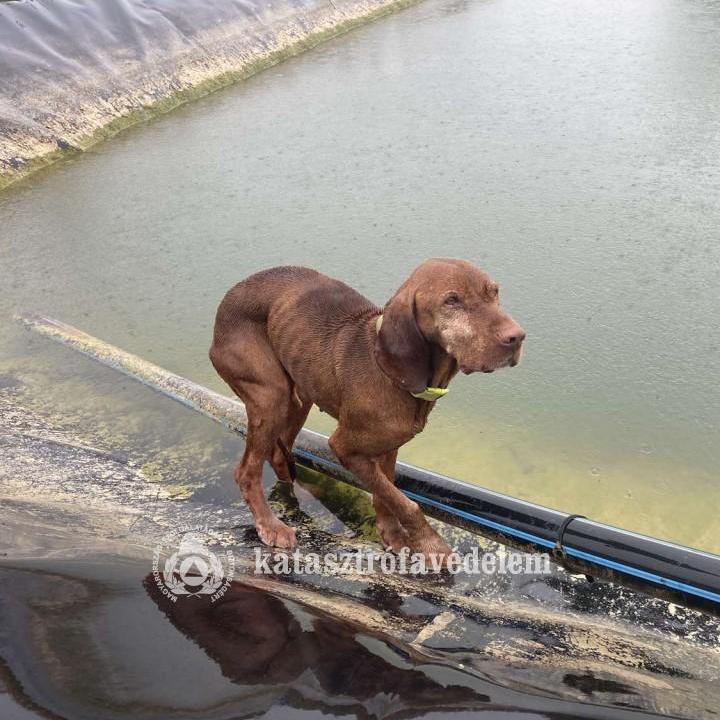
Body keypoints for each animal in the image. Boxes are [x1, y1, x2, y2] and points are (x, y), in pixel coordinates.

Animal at [208, 258, 524, 556]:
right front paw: (432, 545)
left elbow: (386, 493)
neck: (394, 376)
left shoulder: (389, 446)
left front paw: (391, 533)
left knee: (278, 454)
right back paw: (270, 524)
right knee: (246, 472)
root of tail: (225, 301)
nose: (517, 337)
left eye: (495, 292)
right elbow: (404, 502)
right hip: (271, 397)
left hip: (299, 396)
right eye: (452, 300)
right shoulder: (344, 448)